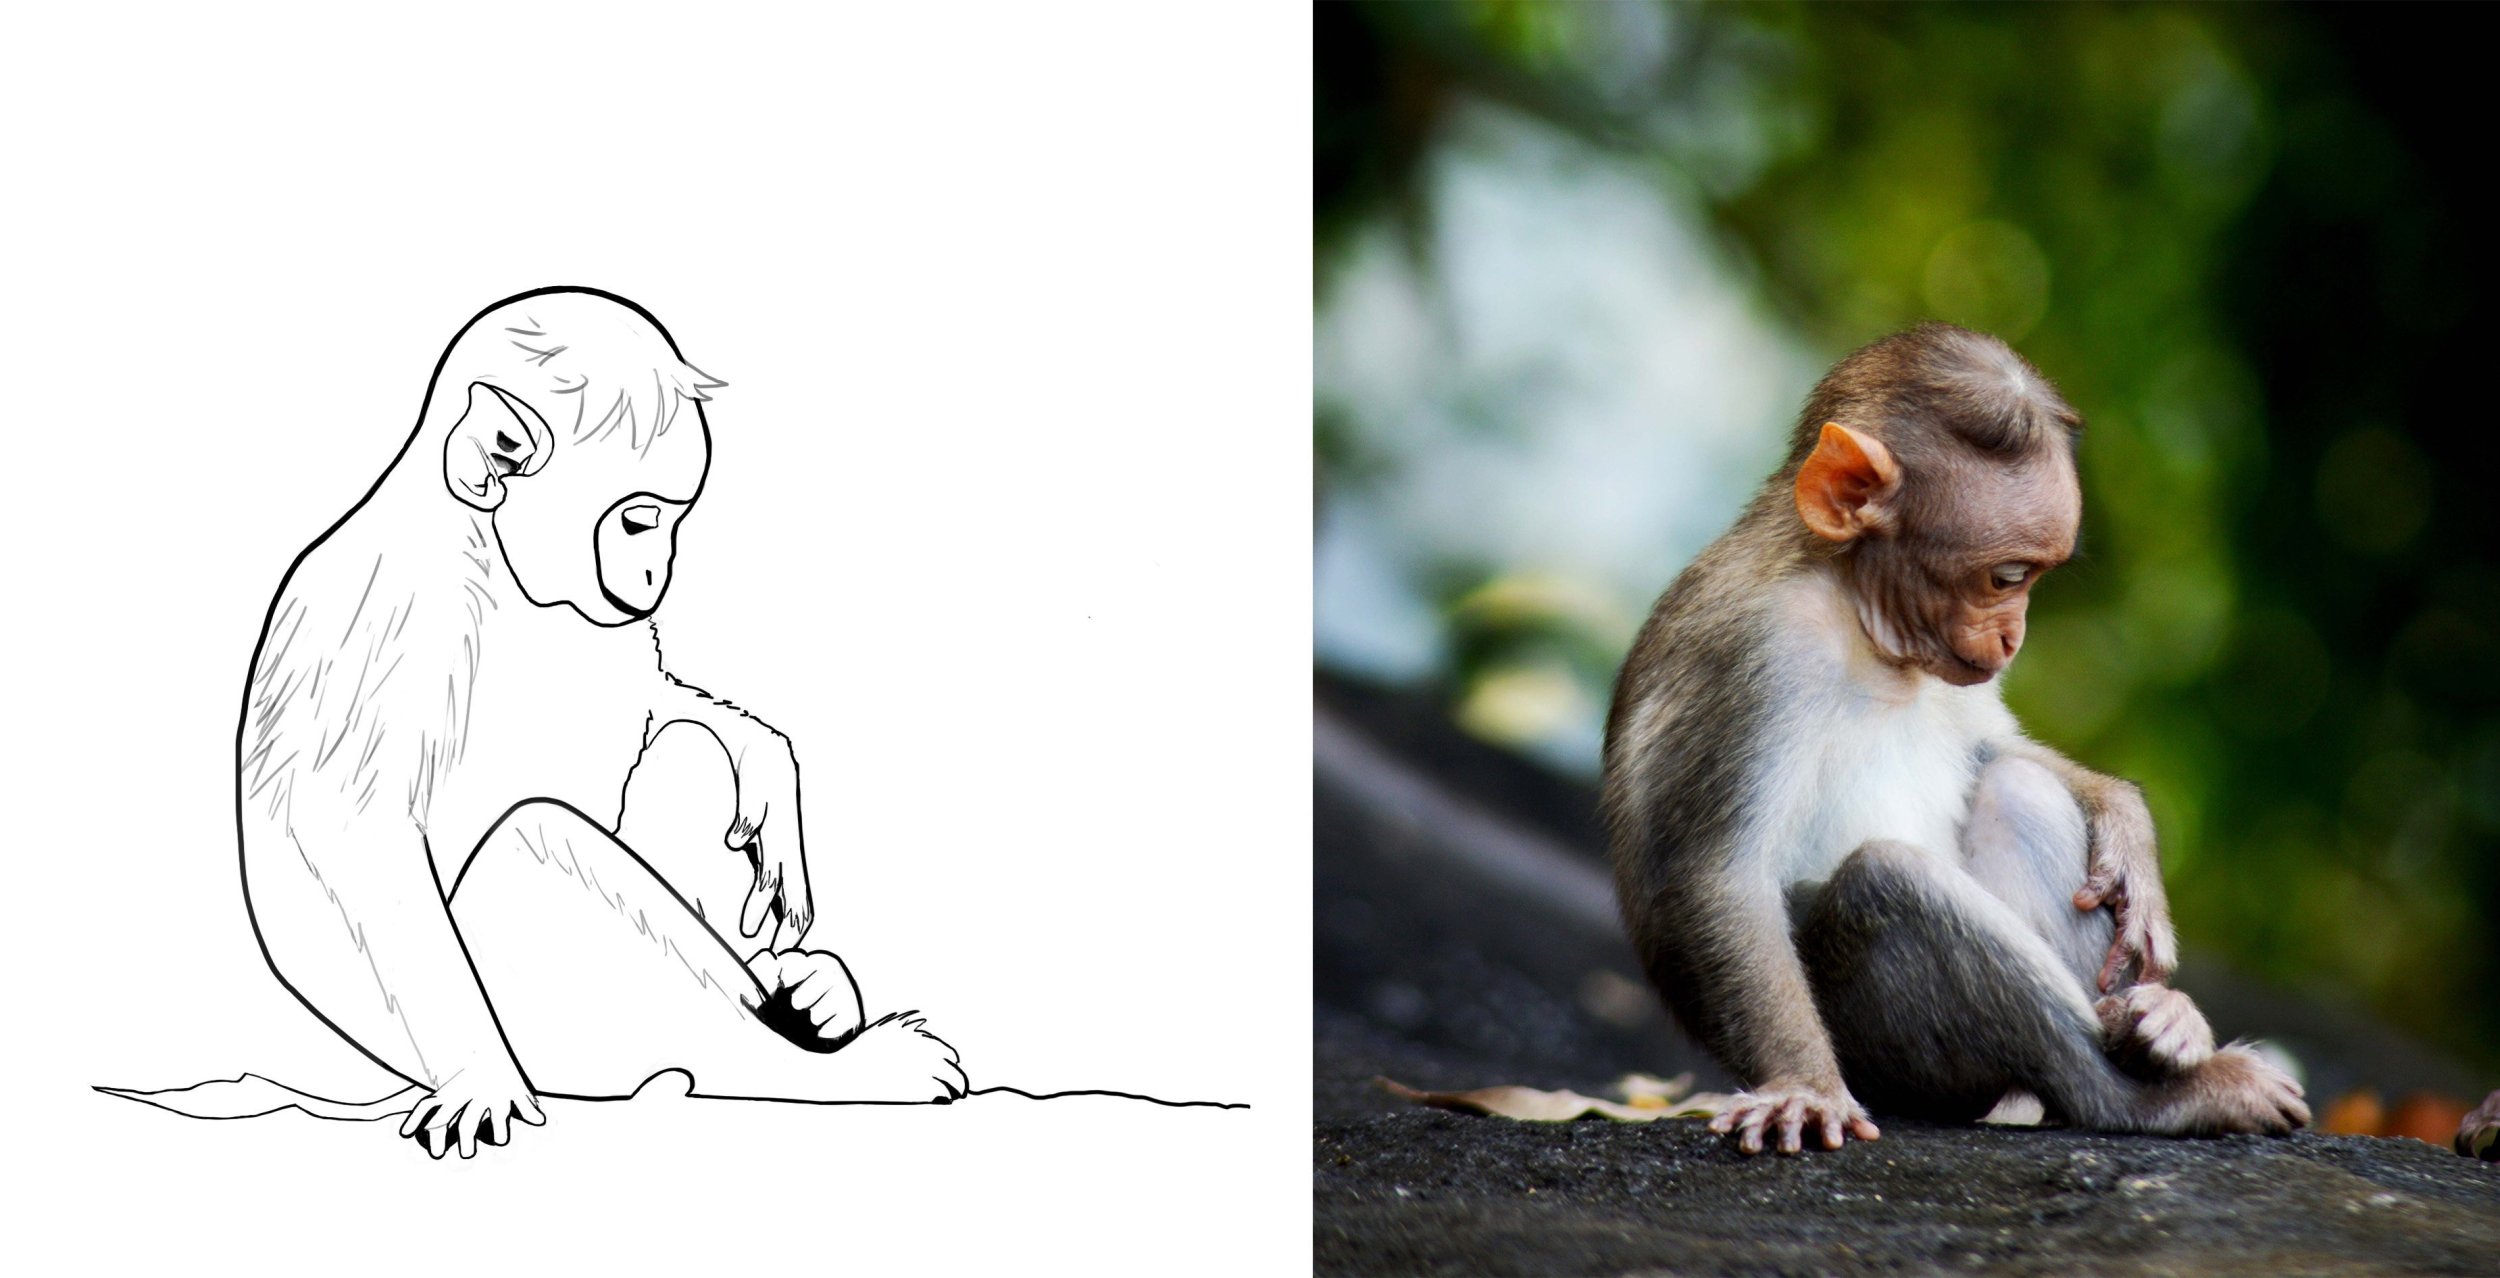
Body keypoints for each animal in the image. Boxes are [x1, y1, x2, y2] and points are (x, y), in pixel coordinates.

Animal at [229, 287, 964, 1158]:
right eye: (639, 522)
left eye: (672, 522)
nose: (656, 571)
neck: (491, 562)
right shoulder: (387, 618)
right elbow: (351, 834)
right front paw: (479, 1077)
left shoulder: (615, 633)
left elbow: (664, 705)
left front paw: (766, 760)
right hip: (542, 1021)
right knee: (540, 841)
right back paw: (828, 1065)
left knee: (688, 752)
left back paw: (813, 996)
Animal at [1601, 323, 2306, 1156]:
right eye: (2007, 576)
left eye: (2035, 577)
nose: (2013, 638)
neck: (1853, 609)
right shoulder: (1762, 650)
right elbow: (1719, 876)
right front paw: (1804, 1086)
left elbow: (1993, 749)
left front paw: (2127, 825)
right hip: (1892, 1058)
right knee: (1889, 882)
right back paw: (2141, 1096)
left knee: (2018, 789)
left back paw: (2152, 1028)